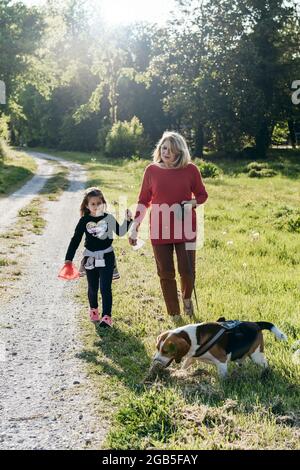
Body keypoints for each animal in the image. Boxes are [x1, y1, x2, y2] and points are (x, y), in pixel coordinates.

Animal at [154, 318, 288, 376]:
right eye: (157, 348)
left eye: (165, 351)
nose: (155, 360)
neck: (193, 337)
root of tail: (256, 324)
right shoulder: (192, 357)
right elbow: (185, 365)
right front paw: (180, 373)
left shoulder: (222, 361)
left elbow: (222, 377)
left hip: (256, 355)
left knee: (265, 364)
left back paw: (265, 374)